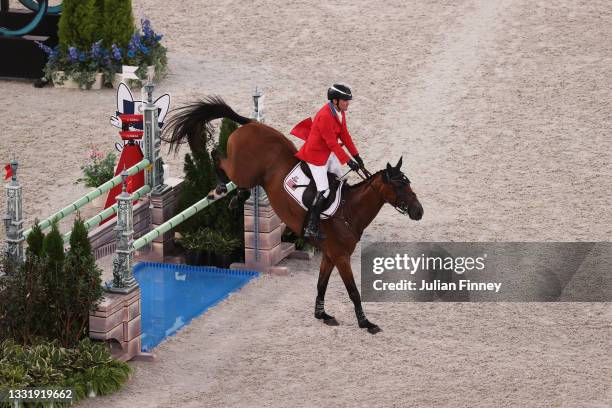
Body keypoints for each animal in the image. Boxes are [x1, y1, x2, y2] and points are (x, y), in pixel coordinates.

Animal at [160, 97, 424, 334]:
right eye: (400, 186)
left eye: (409, 183)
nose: (419, 211)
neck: (349, 210)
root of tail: (251, 124)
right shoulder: (341, 257)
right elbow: (353, 291)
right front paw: (366, 323)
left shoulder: (329, 255)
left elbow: (321, 285)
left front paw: (322, 315)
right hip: (243, 169)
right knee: (218, 157)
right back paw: (221, 187)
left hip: (250, 175)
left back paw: (238, 197)